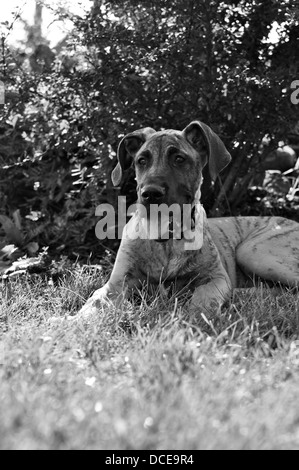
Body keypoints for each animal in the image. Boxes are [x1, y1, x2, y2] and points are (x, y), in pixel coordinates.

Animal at [79, 121, 299, 316]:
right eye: (141, 161)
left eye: (179, 159)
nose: (150, 193)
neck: (166, 243)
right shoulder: (116, 283)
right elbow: (95, 302)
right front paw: (75, 323)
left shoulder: (216, 278)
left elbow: (203, 298)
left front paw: (193, 321)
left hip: (253, 251)